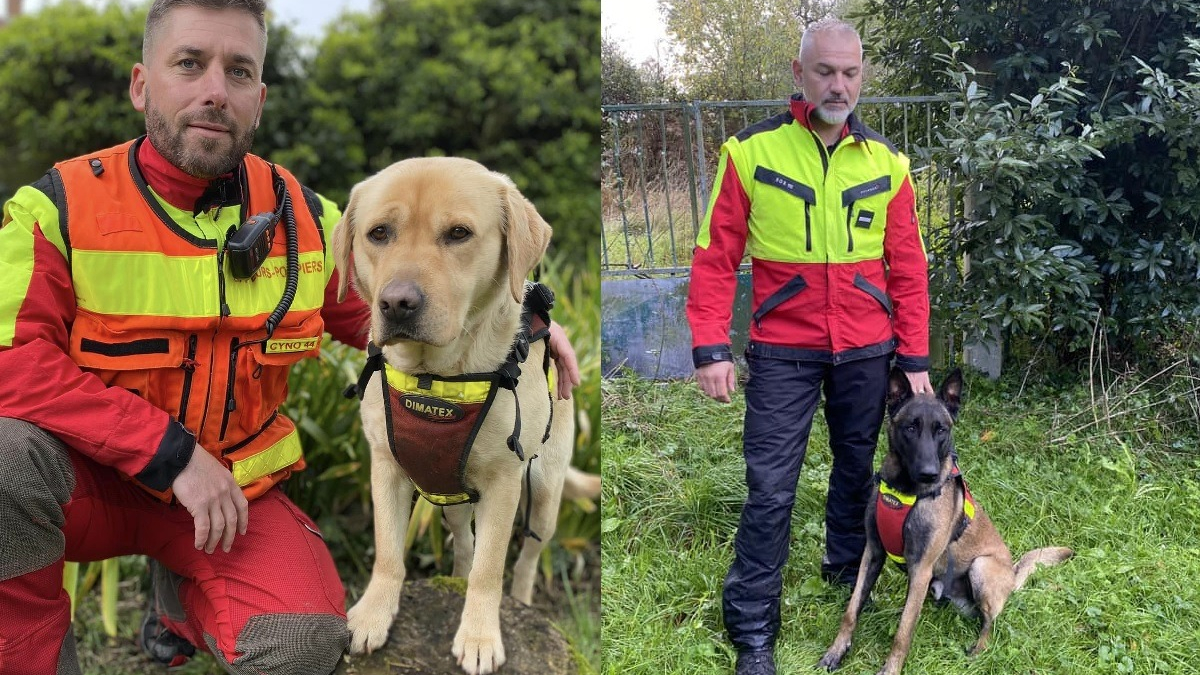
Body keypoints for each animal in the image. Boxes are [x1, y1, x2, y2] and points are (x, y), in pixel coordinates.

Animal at [333, 156, 590, 667]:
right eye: (378, 233)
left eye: (458, 233)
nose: (397, 303)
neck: (436, 379)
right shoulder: (386, 467)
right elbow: (388, 551)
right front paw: (373, 613)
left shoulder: (505, 482)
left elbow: (491, 569)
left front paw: (478, 637)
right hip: (447, 492)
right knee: (464, 541)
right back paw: (452, 576)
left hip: (544, 494)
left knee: (527, 556)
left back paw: (521, 596)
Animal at [820, 367, 1075, 672]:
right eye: (910, 428)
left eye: (941, 429)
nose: (929, 473)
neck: (906, 491)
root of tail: (1012, 576)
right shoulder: (873, 553)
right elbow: (852, 609)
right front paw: (836, 651)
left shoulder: (921, 568)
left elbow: (903, 631)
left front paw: (890, 669)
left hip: (980, 567)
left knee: (990, 625)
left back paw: (978, 651)